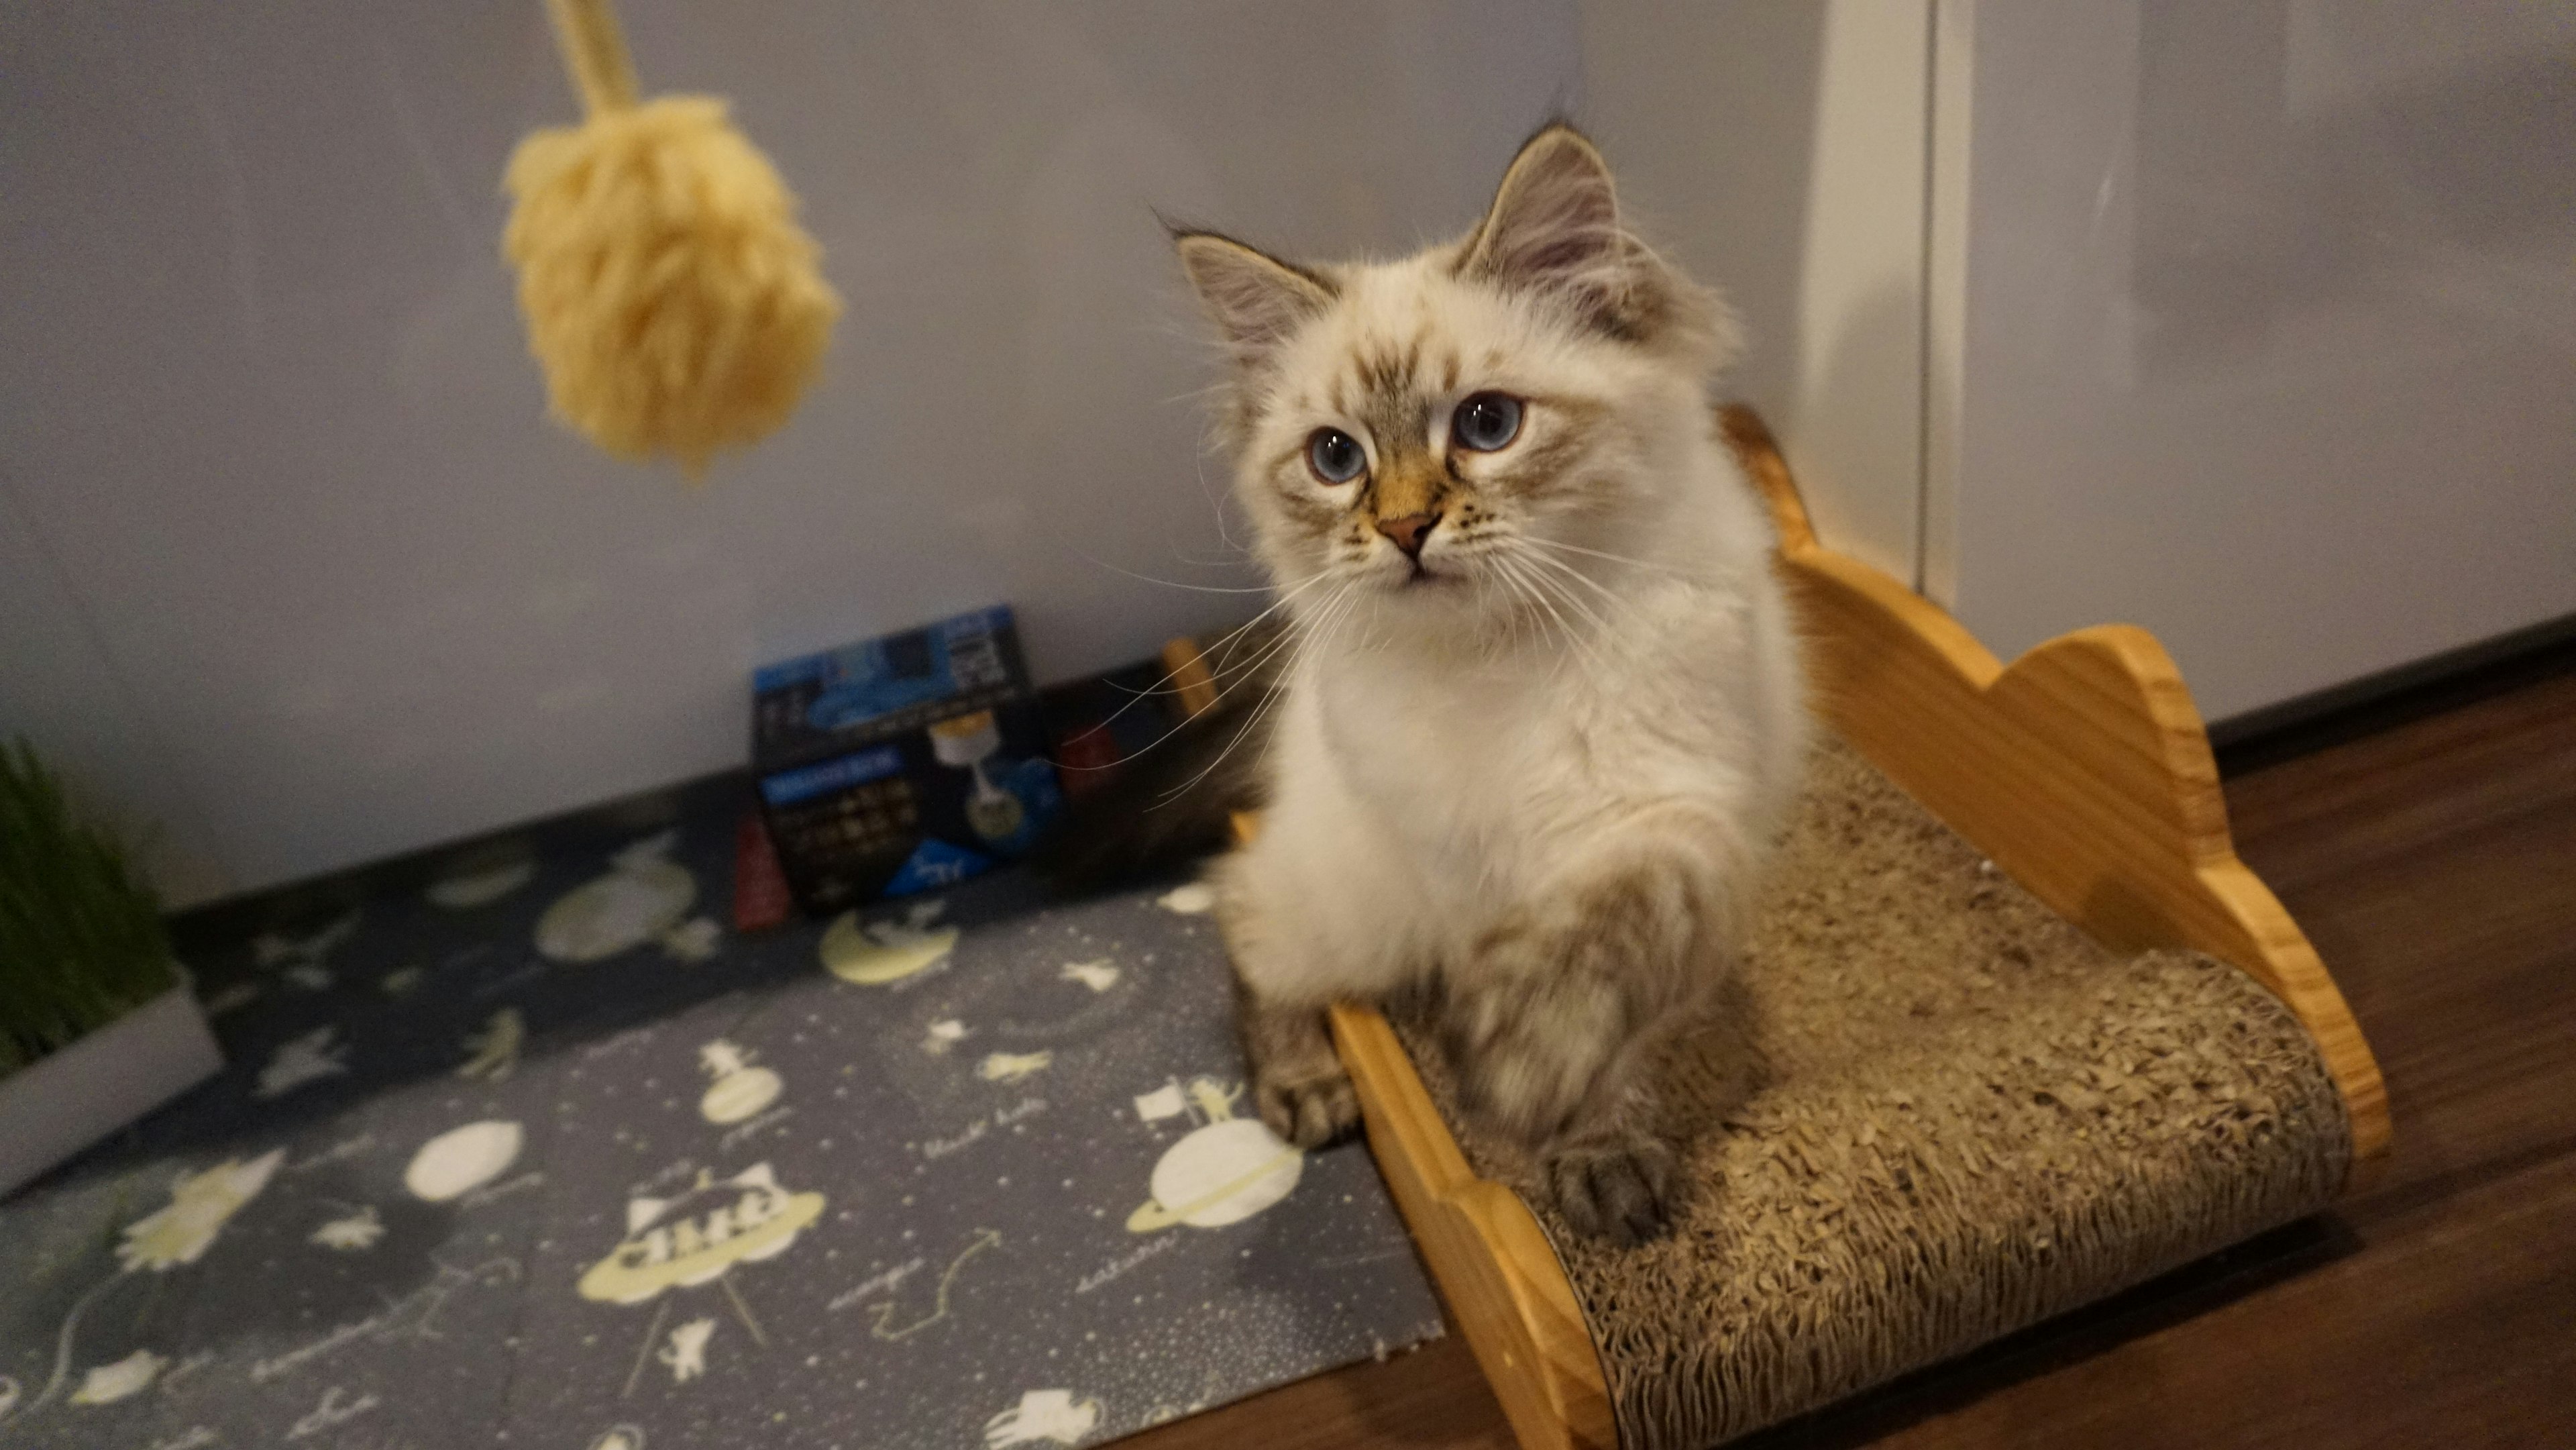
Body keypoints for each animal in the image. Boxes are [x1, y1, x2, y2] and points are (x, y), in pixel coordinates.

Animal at [1159, 121, 1803, 1246]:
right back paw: (1306, 1088)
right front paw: (1537, 1124)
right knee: (1243, 914)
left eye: (1488, 424)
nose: (1405, 528)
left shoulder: (1671, 815)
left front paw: (1556, 1099)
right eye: (1336, 458)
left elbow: (1613, 961)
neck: (1510, 658)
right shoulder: (1465, 869)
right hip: (1356, 911)